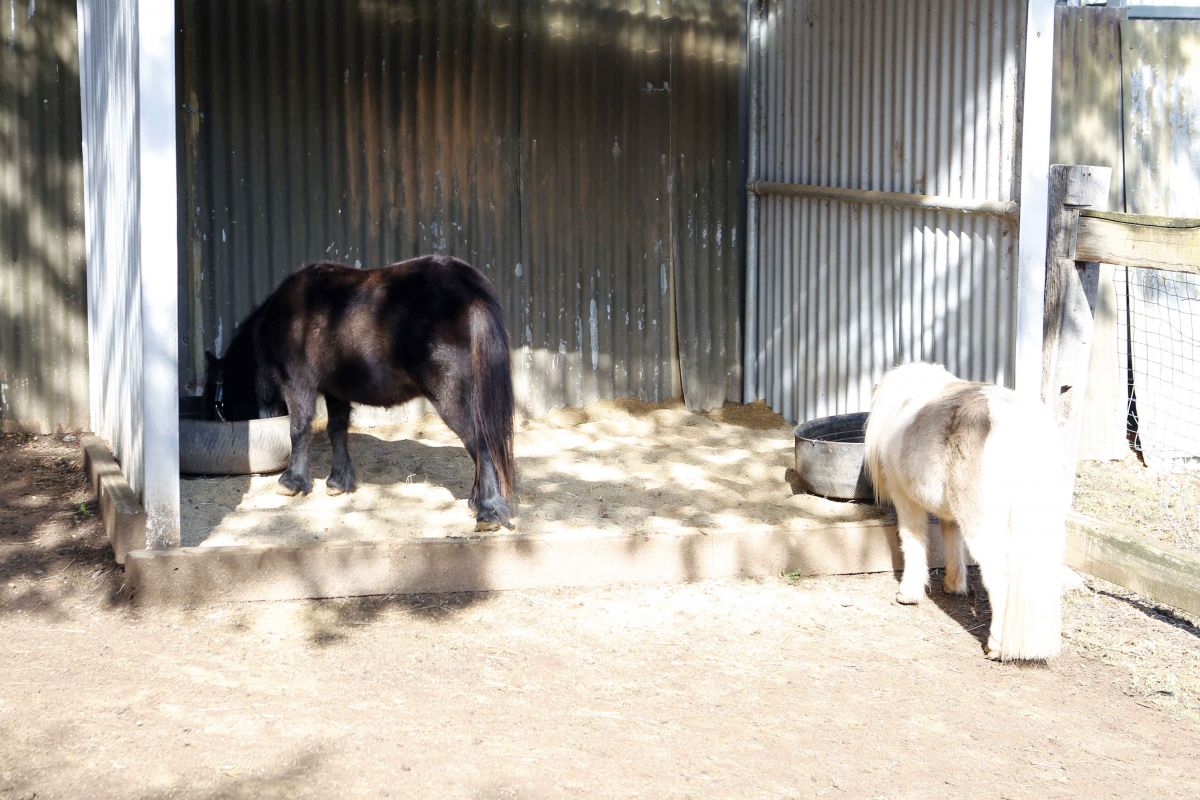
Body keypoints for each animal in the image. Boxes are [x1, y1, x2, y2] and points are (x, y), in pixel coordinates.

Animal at [206, 256, 516, 532]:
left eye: (216, 399)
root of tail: (469, 287)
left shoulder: (298, 383)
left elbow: (299, 428)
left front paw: (291, 482)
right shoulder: (336, 391)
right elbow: (336, 430)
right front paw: (338, 482)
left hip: (451, 397)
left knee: (480, 441)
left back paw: (488, 510)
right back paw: (479, 502)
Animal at [864, 364, 1070, 662]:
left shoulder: (906, 501)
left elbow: (912, 541)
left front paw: (909, 593)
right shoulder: (951, 515)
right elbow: (952, 540)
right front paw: (954, 585)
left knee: (1000, 579)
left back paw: (996, 647)